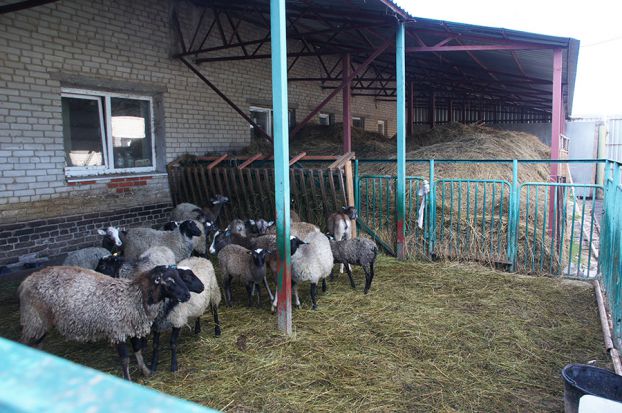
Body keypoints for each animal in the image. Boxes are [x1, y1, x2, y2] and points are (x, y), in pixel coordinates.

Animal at [18, 264, 193, 380]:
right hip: (35, 318)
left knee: (37, 344)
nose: (187, 295)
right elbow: (125, 359)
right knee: (27, 343)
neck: (134, 298)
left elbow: (138, 351)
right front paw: (128, 380)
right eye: (169, 281)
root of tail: (27, 281)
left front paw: (146, 371)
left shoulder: (133, 328)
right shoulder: (118, 331)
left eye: (180, 277)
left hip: (40, 322)